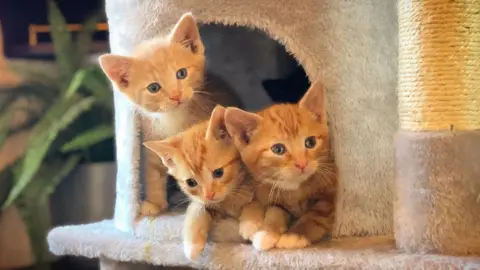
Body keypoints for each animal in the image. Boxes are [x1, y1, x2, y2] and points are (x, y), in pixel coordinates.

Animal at [97, 13, 240, 217]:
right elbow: (153, 172)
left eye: (181, 73)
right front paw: (154, 203)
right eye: (153, 88)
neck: (174, 118)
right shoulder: (153, 138)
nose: (175, 95)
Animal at [143, 106, 253, 262]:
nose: (209, 194)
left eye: (218, 172)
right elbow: (197, 206)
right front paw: (192, 245)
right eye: (191, 182)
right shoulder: (203, 201)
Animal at [223, 80, 336, 251]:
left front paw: (294, 235)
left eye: (310, 142)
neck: (295, 188)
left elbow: (314, 215)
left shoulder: (329, 195)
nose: (302, 164)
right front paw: (267, 232)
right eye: (278, 149)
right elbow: (275, 210)